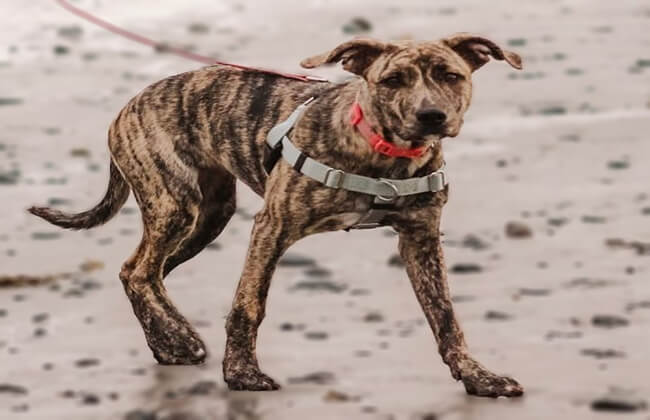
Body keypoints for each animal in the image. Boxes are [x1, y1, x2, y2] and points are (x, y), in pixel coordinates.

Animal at [30, 33, 524, 398]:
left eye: (450, 75)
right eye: (392, 80)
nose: (431, 116)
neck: (384, 153)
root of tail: (129, 104)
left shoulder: (421, 239)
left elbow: (445, 316)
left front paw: (479, 377)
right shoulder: (272, 227)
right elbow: (249, 304)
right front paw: (242, 374)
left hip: (210, 216)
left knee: (144, 273)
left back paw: (169, 340)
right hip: (175, 204)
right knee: (140, 272)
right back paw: (181, 338)